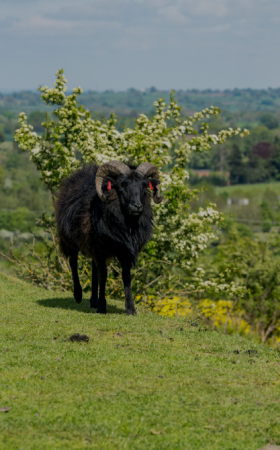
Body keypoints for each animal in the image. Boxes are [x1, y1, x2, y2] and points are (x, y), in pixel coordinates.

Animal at [55, 160, 163, 314]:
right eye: (122, 185)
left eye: (144, 186)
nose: (137, 206)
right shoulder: (99, 249)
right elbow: (103, 276)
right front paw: (102, 307)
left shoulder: (125, 251)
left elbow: (126, 277)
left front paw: (130, 308)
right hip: (69, 240)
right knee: (73, 262)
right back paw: (78, 295)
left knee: (93, 269)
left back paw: (93, 301)